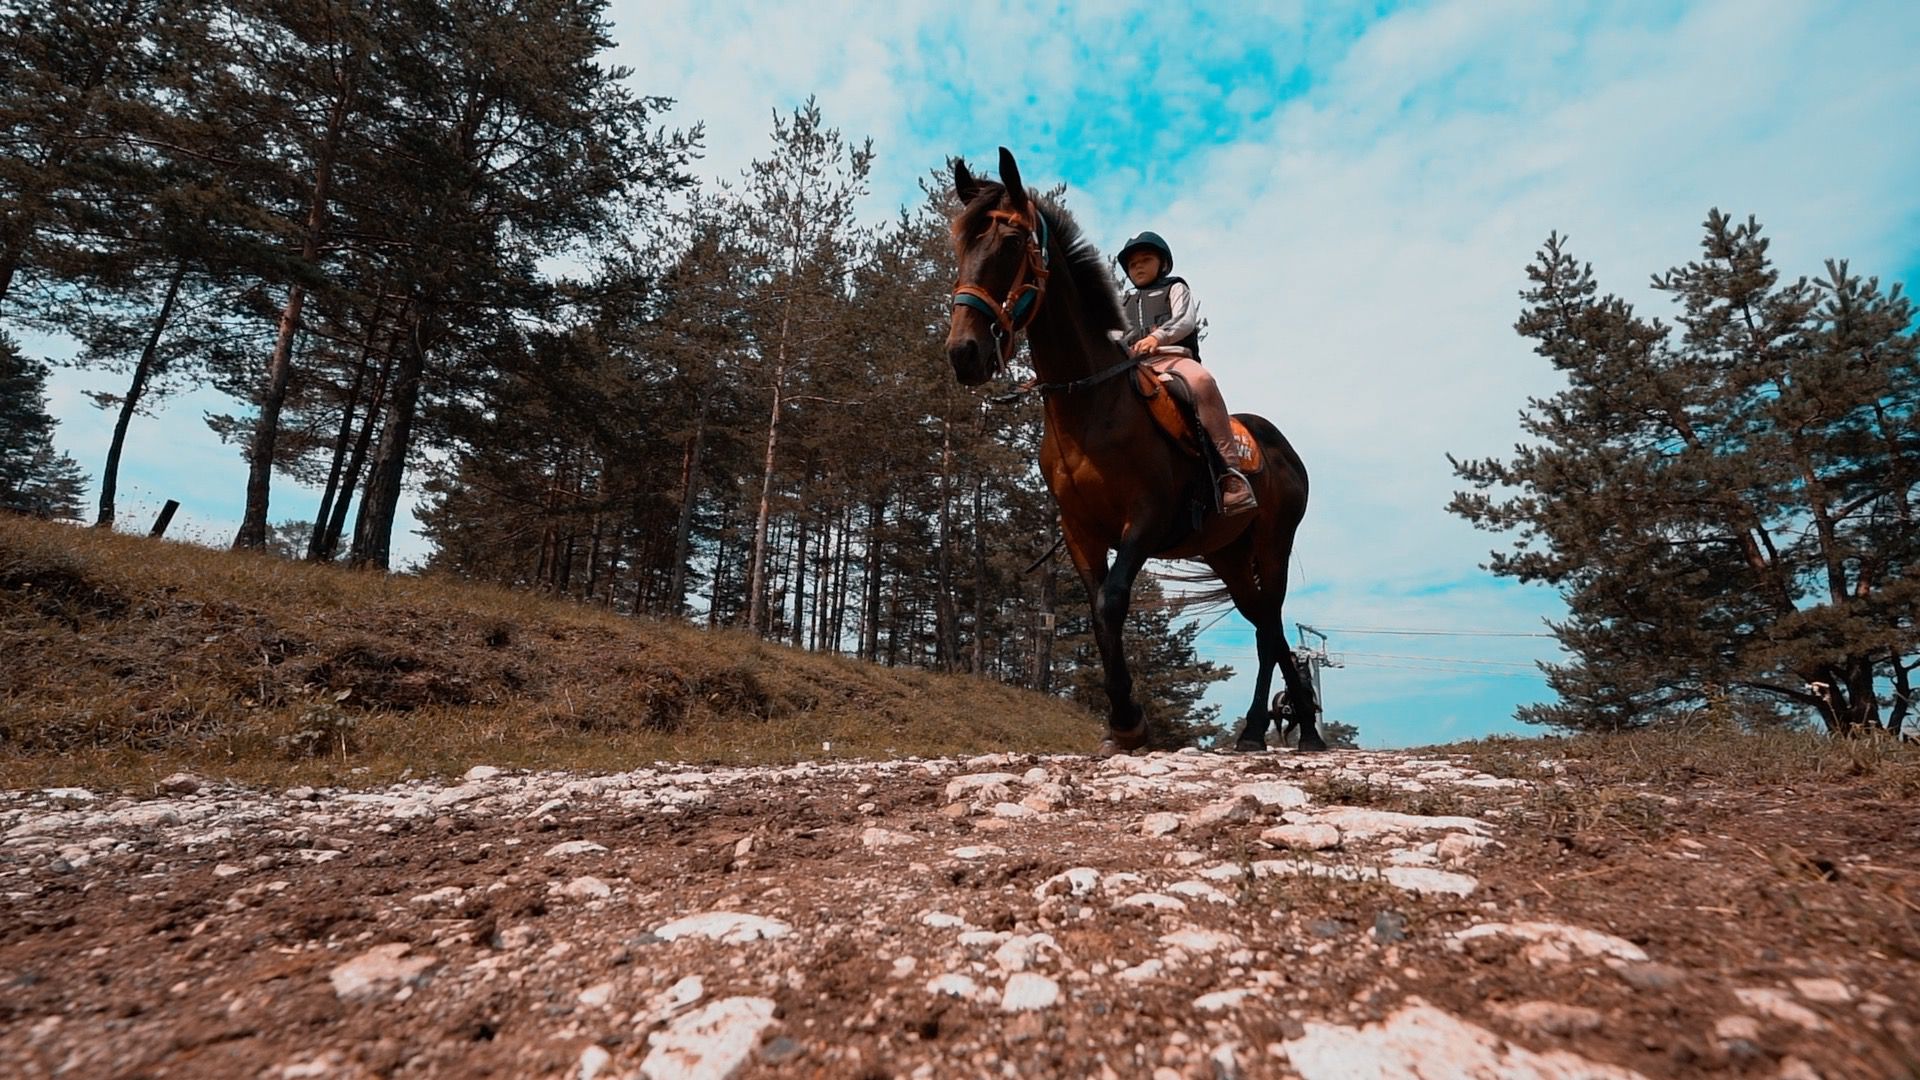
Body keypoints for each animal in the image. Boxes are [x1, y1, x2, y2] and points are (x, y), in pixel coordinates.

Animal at [940, 147, 1320, 753]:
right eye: (960, 246)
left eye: (1012, 242)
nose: (964, 353)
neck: (1090, 408)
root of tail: (1282, 448)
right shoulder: (1081, 531)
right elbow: (1098, 613)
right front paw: (1123, 723)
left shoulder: (1143, 521)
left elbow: (1112, 602)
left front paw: (1127, 719)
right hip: (1228, 552)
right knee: (1266, 624)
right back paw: (1265, 729)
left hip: (1272, 544)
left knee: (1269, 628)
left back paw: (1297, 729)